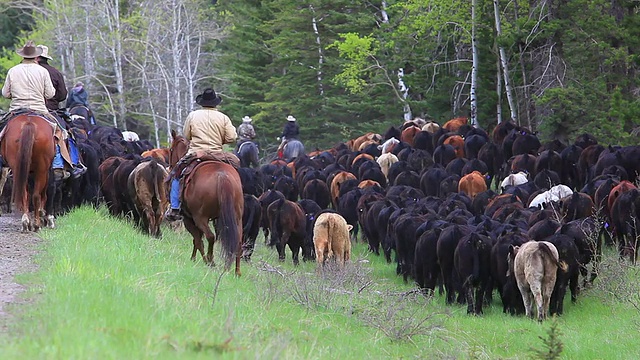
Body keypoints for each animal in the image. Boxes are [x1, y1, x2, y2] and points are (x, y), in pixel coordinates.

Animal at [169, 131, 244, 274]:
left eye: (170, 149)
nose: (170, 166)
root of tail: (222, 176)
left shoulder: (188, 219)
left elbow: (198, 240)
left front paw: (195, 259)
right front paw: (193, 258)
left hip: (200, 217)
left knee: (210, 237)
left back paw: (210, 261)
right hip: (237, 218)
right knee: (238, 241)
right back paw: (236, 272)